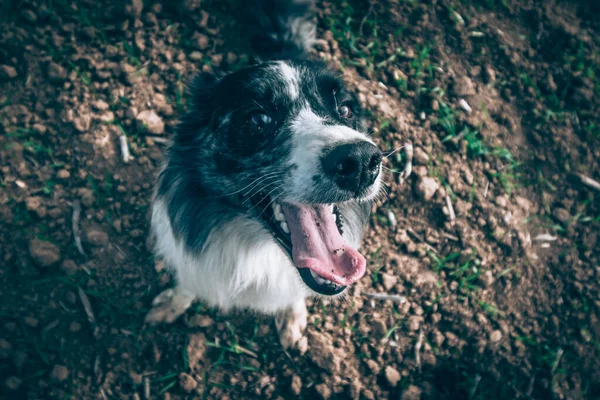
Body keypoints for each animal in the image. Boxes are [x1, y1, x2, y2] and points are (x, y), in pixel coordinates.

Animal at [148, 0, 386, 350]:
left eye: (345, 109)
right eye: (258, 119)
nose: (359, 161)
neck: (258, 248)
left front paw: (292, 316)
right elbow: (188, 284)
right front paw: (171, 304)